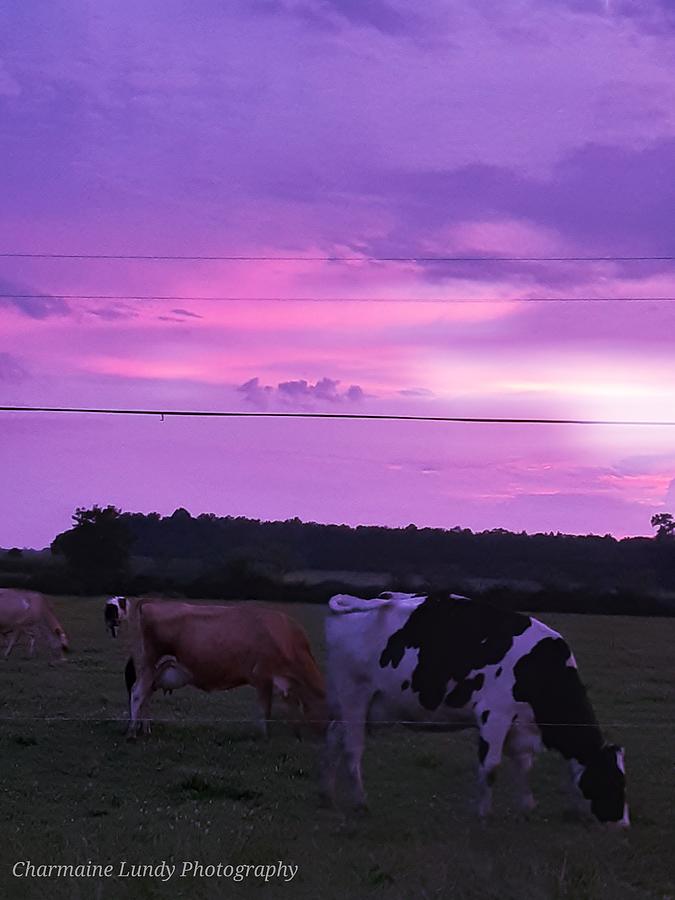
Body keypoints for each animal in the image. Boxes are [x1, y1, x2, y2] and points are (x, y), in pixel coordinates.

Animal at [104, 596, 326, 740]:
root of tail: (150, 603)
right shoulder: (263, 676)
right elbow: (265, 710)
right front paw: (265, 736)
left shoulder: (284, 683)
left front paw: (295, 732)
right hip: (149, 663)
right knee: (137, 693)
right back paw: (132, 731)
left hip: (156, 670)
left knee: (146, 695)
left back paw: (145, 728)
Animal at [320, 592, 628, 828]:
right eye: (613, 782)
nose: (623, 825)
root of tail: (360, 603)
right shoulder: (495, 715)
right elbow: (490, 768)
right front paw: (483, 815)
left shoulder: (521, 726)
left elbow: (524, 766)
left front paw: (527, 807)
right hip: (354, 698)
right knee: (353, 750)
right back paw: (360, 803)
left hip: (356, 707)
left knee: (333, 739)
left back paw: (329, 797)